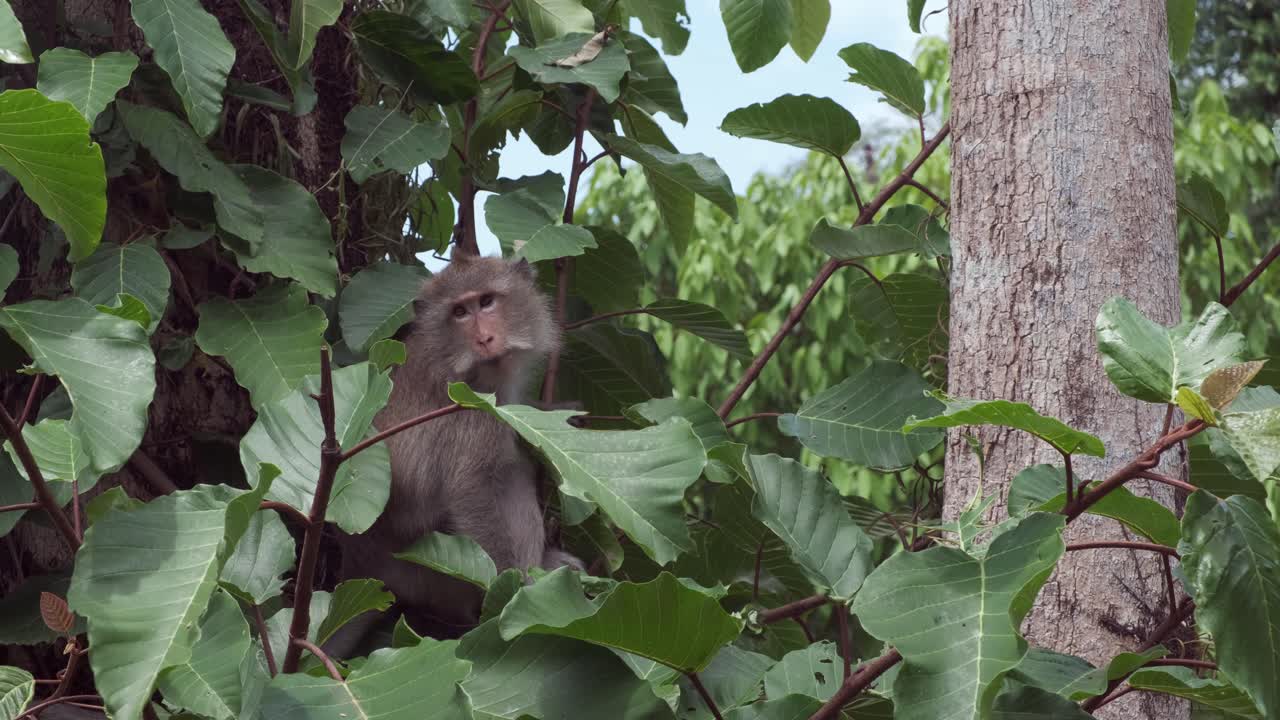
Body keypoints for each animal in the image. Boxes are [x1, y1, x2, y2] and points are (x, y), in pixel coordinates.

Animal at [333, 254, 583, 648]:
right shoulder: (472, 408)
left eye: (487, 302)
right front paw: (513, 593)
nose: (484, 338)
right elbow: (471, 489)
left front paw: (557, 411)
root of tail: (366, 569)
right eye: (460, 312)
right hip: (432, 579)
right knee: (511, 476)